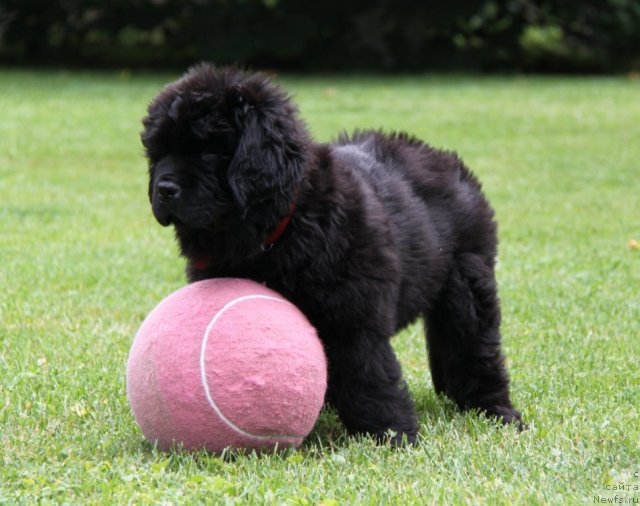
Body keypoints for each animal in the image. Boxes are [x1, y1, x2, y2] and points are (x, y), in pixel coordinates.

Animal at [142, 62, 524, 442]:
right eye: (158, 153)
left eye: (208, 151)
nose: (164, 189)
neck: (282, 229)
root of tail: (450, 163)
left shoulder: (353, 313)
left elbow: (368, 372)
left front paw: (390, 434)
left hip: (465, 285)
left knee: (472, 346)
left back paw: (495, 410)